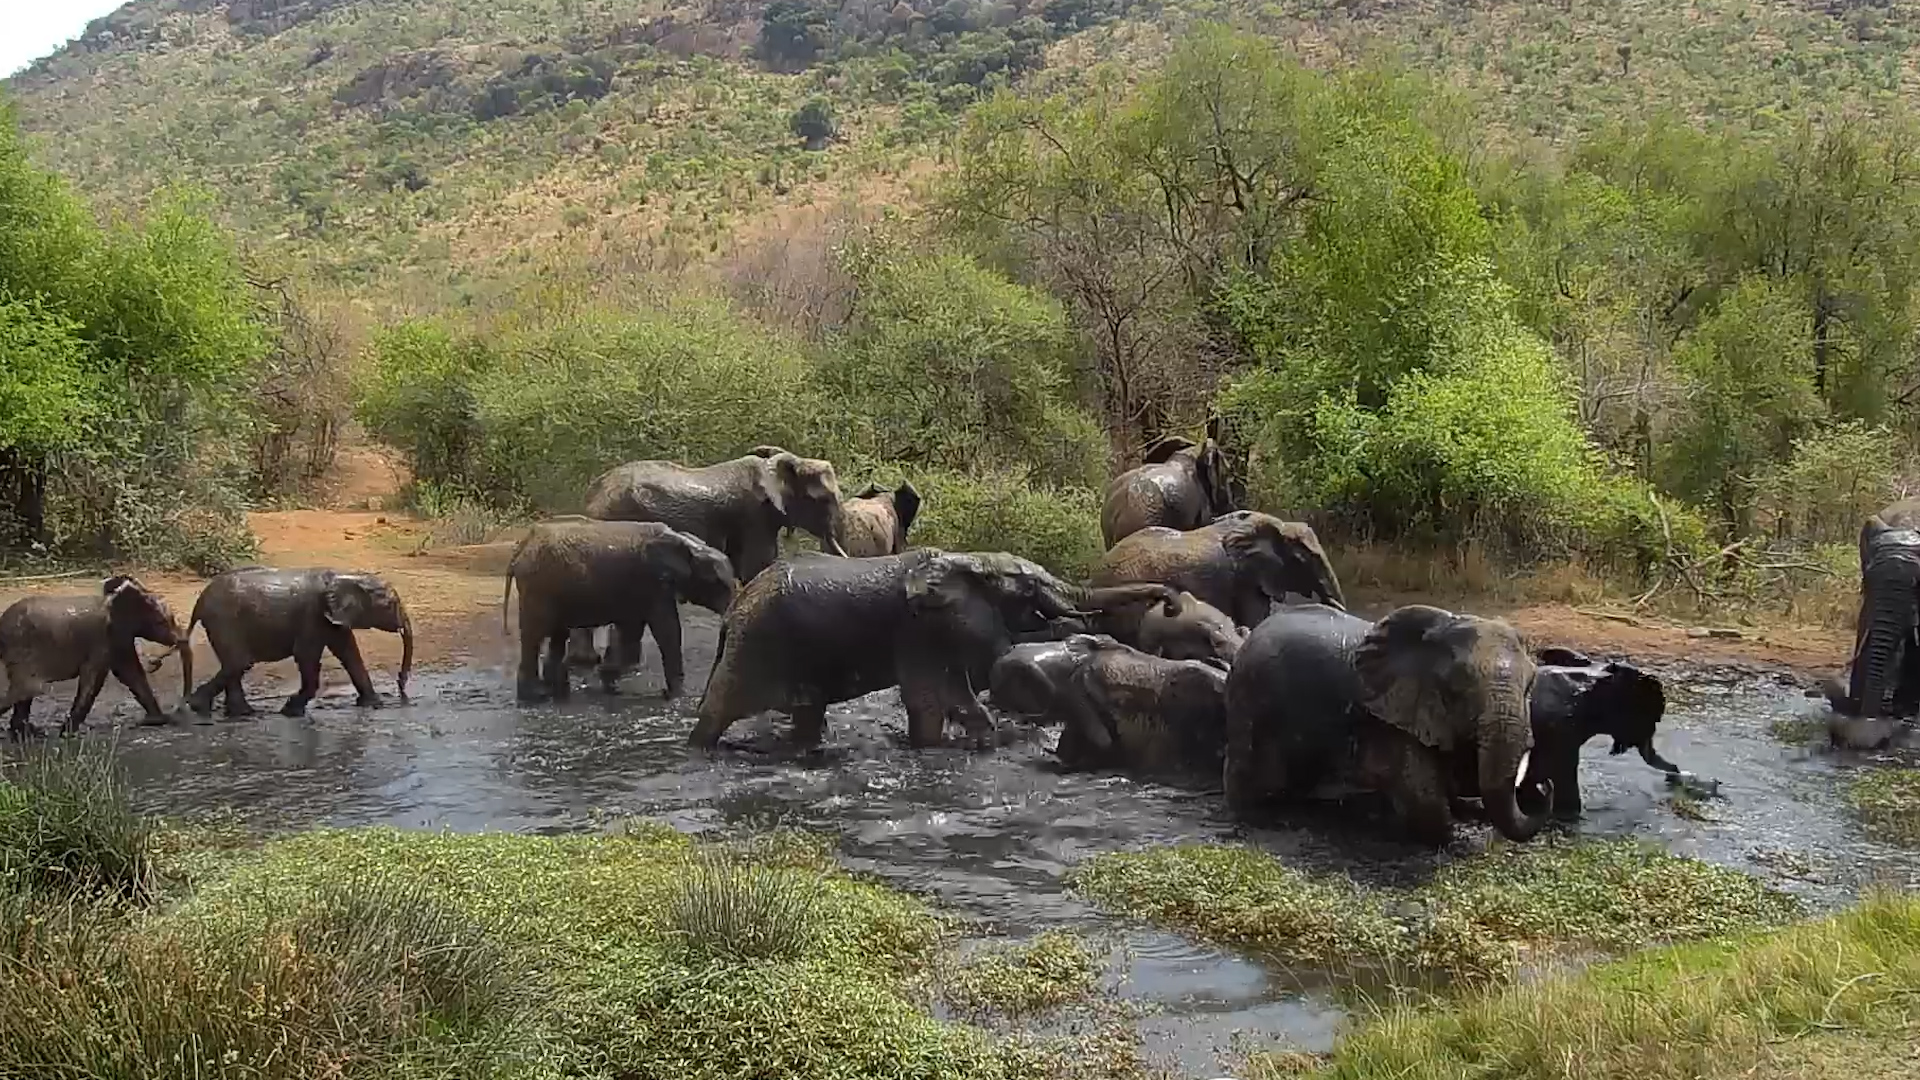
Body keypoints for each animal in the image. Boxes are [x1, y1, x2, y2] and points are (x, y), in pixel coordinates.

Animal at [0, 576, 192, 738]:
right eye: (162, 622)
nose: (180, 710)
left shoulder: (118, 638)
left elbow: (130, 674)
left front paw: (158, 720)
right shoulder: (101, 638)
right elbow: (94, 678)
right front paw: (67, 734)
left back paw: (26, 734)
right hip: (21, 648)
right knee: (27, 688)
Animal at [184, 567, 413, 719]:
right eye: (391, 604)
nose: (401, 684)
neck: (344, 576)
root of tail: (199, 603)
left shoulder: (333, 619)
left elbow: (349, 653)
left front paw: (373, 706)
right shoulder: (312, 616)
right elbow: (306, 656)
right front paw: (290, 711)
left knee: (235, 665)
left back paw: (242, 714)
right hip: (224, 620)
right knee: (239, 662)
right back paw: (199, 708)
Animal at [502, 517, 738, 702]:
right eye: (717, 583)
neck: (685, 543)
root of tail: (520, 548)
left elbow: (634, 627)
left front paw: (610, 683)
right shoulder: (651, 582)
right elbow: (665, 629)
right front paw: (675, 696)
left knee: (558, 634)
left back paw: (558, 692)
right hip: (538, 587)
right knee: (534, 635)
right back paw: (536, 697)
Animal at [691, 550, 1179, 749]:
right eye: (1028, 588)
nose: (1170, 604)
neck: (967, 559)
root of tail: (735, 608)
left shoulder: (943, 632)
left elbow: (960, 699)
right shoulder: (915, 630)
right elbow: (926, 699)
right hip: (756, 644)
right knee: (719, 708)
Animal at [1222, 603, 1551, 847]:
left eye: (1530, 686)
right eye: (1456, 689)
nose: (1543, 785)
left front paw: (1467, 812)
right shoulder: (1390, 719)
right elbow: (1422, 796)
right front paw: (1453, 832)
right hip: (1251, 698)